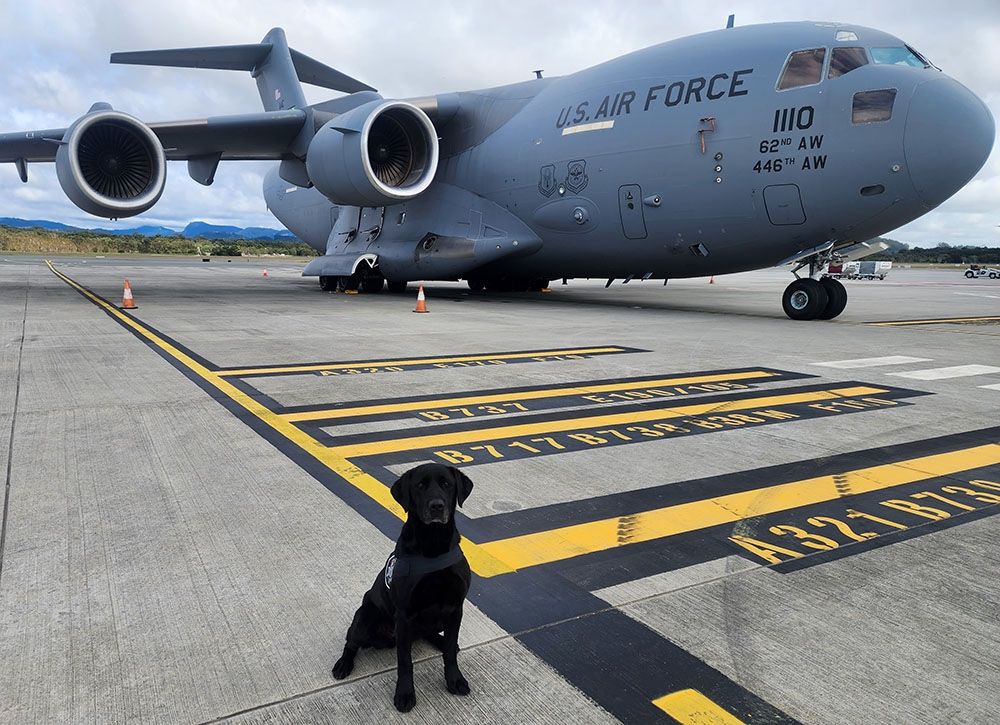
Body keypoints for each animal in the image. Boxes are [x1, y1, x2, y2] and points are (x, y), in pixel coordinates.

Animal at [332, 460, 476, 708]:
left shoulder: (456, 608)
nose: (437, 506)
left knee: (432, 634)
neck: (433, 546)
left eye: (447, 484)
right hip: (364, 617)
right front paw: (405, 693)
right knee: (351, 642)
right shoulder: (404, 614)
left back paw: (439, 640)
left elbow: (450, 652)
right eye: (420, 486)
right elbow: (405, 662)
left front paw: (455, 680)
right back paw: (343, 664)